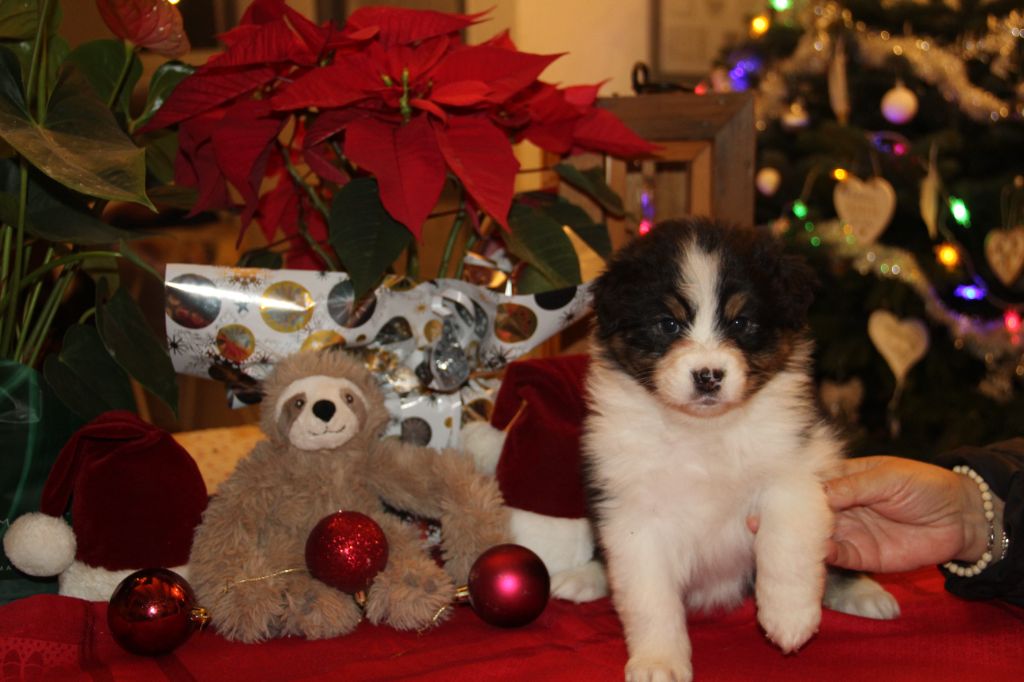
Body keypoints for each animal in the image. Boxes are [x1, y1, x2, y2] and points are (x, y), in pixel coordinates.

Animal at [582, 218, 899, 682]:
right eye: (668, 324)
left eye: (742, 322)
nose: (708, 375)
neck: (704, 430)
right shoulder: (631, 512)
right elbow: (649, 596)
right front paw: (658, 661)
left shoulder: (796, 467)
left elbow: (786, 545)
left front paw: (789, 619)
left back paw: (865, 593)